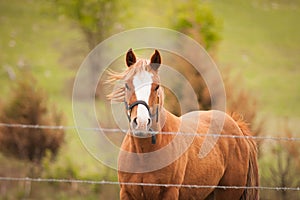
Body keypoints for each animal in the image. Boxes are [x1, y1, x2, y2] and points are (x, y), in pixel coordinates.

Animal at [107, 49, 258, 199]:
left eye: (156, 87)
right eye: (127, 85)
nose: (142, 123)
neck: (144, 155)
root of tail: (236, 126)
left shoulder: (170, 193)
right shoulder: (126, 193)